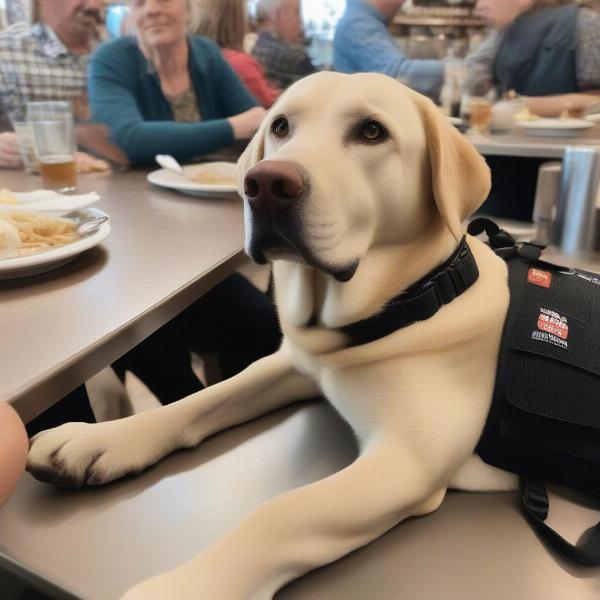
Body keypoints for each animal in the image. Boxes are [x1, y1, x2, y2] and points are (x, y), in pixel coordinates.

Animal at [27, 72, 516, 596]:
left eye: (371, 132)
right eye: (281, 126)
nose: (265, 184)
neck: (413, 299)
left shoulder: (406, 460)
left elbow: (281, 513)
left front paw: (189, 584)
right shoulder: (292, 366)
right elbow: (200, 400)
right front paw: (103, 439)